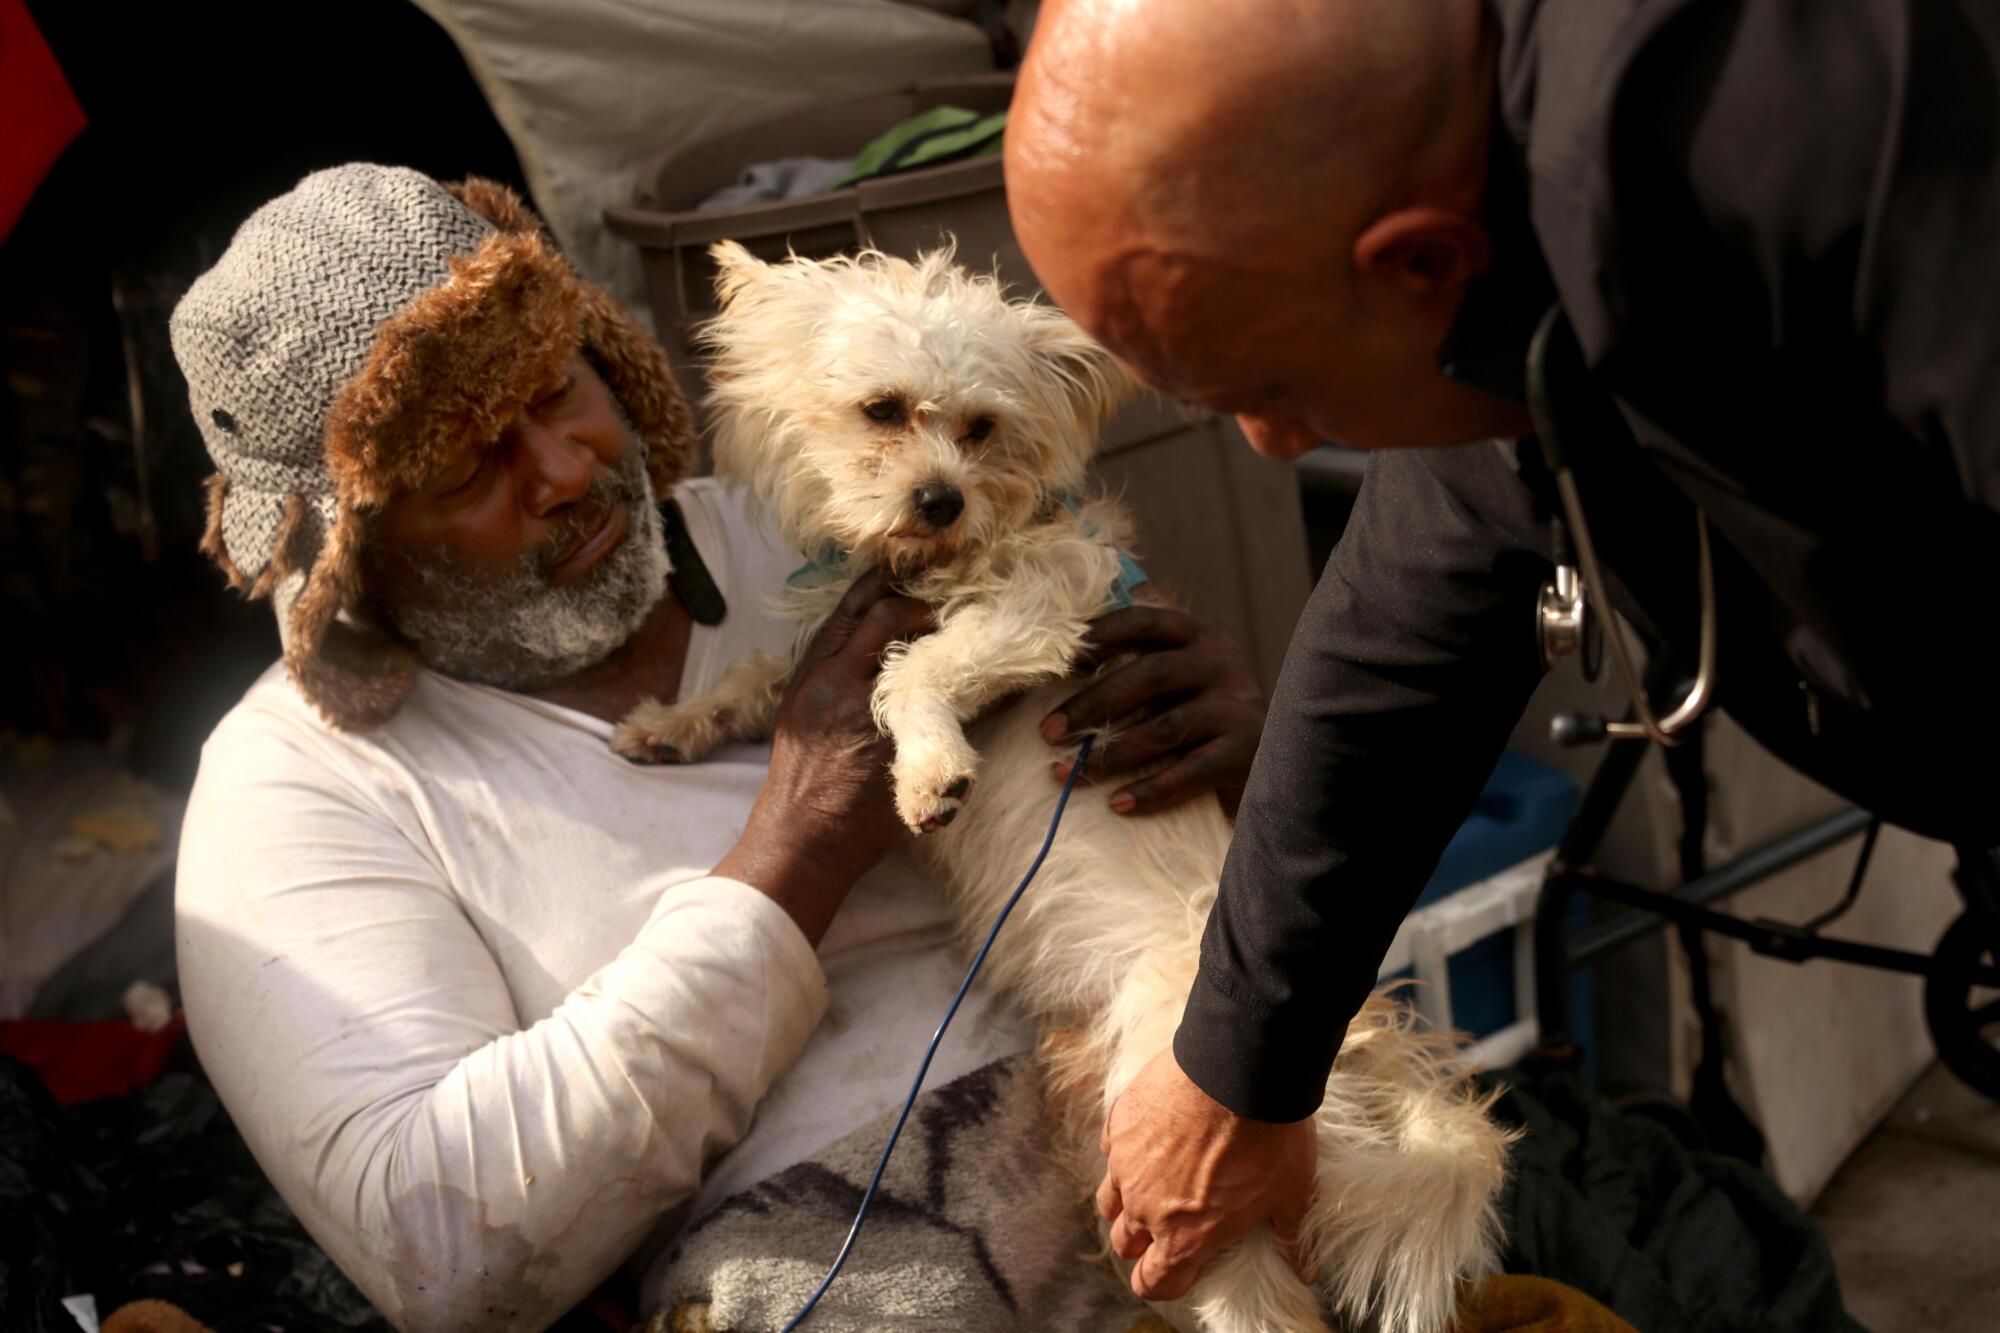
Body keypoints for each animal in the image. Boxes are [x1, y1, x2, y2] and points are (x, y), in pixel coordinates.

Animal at [616, 241, 1504, 1328]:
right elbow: (757, 680)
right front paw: (668, 724)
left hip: (1184, 1165)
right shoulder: (832, 637)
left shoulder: (1043, 604)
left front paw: (929, 769)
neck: (942, 555)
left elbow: (914, 669)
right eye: (881, 409)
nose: (940, 500)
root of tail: (1367, 1047)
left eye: (981, 428)